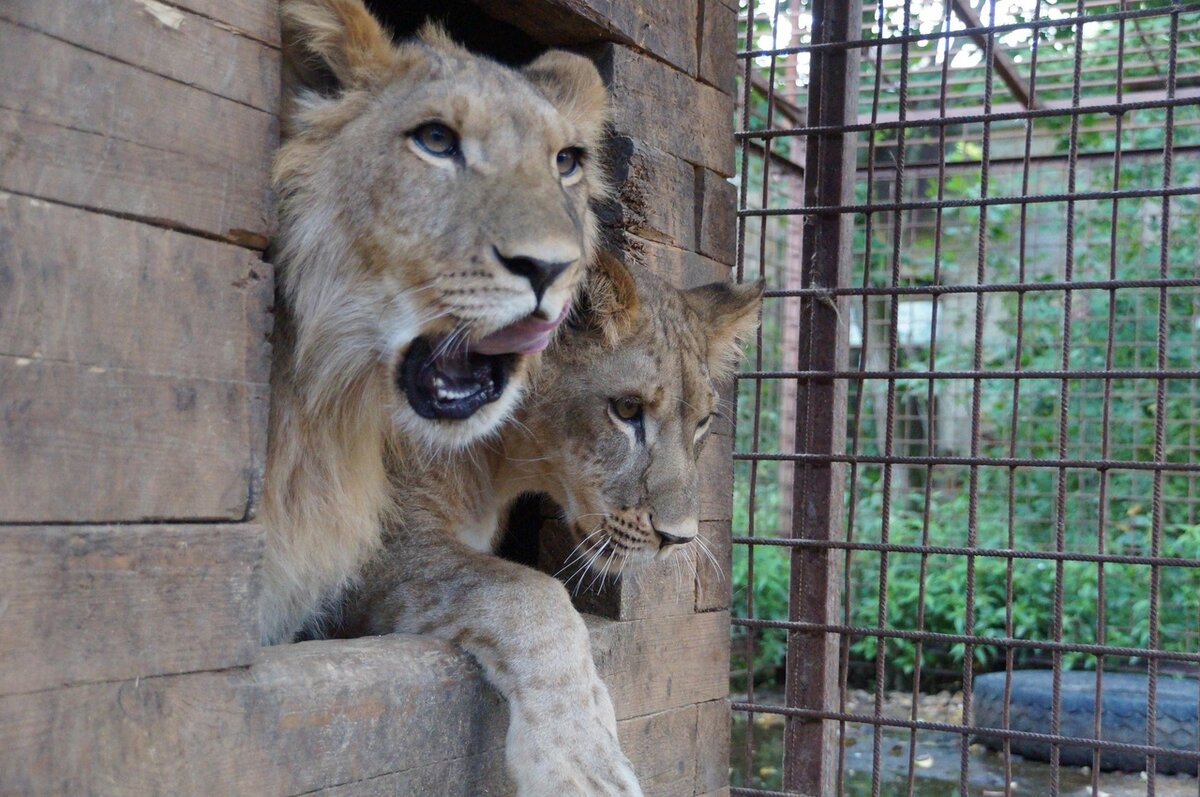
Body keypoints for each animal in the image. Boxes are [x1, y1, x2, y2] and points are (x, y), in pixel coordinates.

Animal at [338, 256, 763, 797]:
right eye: (627, 409)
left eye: (703, 422)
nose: (678, 538)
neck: (496, 467)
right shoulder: (363, 549)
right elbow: (527, 592)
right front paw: (582, 764)